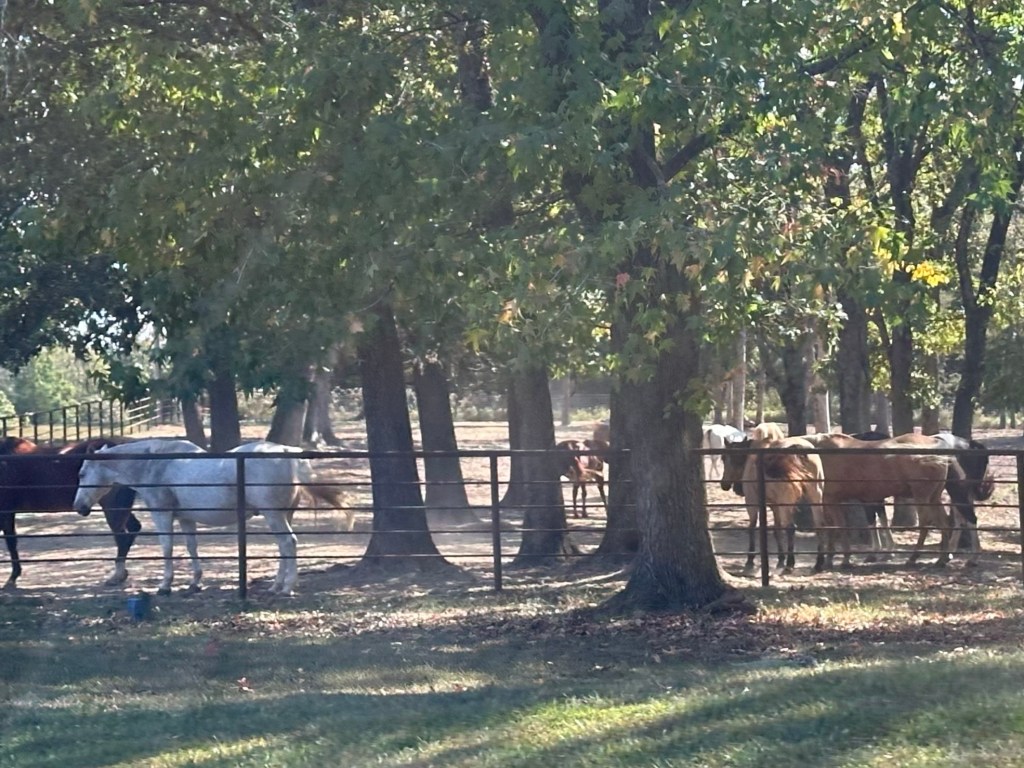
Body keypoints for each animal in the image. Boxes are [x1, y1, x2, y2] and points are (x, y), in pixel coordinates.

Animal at [0, 436, 143, 589]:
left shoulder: (5, 512)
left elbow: (11, 542)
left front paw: (12, 578)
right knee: (133, 528)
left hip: (112, 506)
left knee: (122, 537)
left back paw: (117, 576)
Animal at [72, 439, 323, 596]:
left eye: (82, 474)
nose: (79, 507)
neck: (155, 464)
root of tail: (287, 453)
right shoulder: (186, 519)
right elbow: (192, 547)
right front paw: (194, 583)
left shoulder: (162, 515)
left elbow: (167, 548)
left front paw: (165, 585)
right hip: (284, 515)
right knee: (283, 547)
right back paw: (276, 586)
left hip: (274, 516)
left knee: (288, 543)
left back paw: (287, 587)